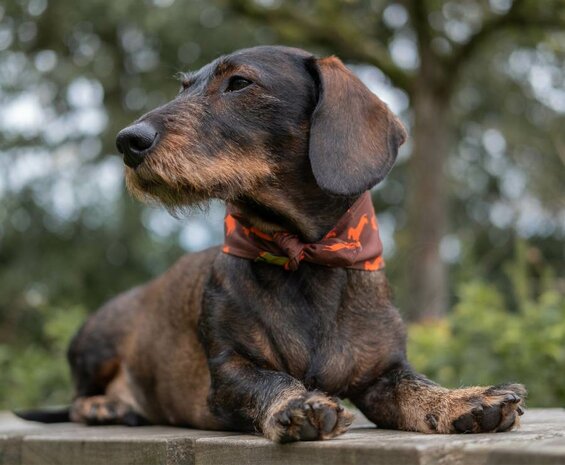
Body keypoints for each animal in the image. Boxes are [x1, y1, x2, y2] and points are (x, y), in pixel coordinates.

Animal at [24, 45, 524, 440]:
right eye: (184, 87)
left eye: (239, 83)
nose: (128, 141)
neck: (302, 256)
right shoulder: (229, 371)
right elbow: (269, 383)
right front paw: (297, 405)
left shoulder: (383, 372)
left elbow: (417, 388)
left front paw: (466, 400)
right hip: (98, 339)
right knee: (77, 397)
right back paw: (104, 405)